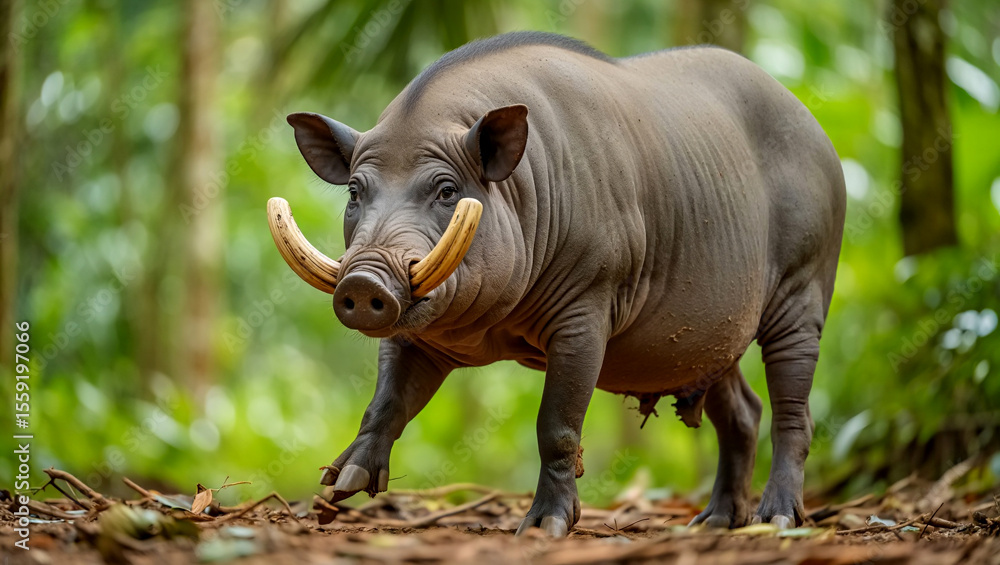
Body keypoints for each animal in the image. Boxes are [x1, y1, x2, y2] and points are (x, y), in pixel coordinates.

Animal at [270, 31, 845, 537]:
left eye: (447, 190)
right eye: (354, 192)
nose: (364, 280)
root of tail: (819, 131)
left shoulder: (587, 308)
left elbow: (557, 425)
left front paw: (545, 526)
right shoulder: (417, 327)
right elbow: (387, 401)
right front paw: (340, 485)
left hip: (803, 289)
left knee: (793, 410)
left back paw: (778, 519)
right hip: (710, 338)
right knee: (743, 411)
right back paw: (716, 522)